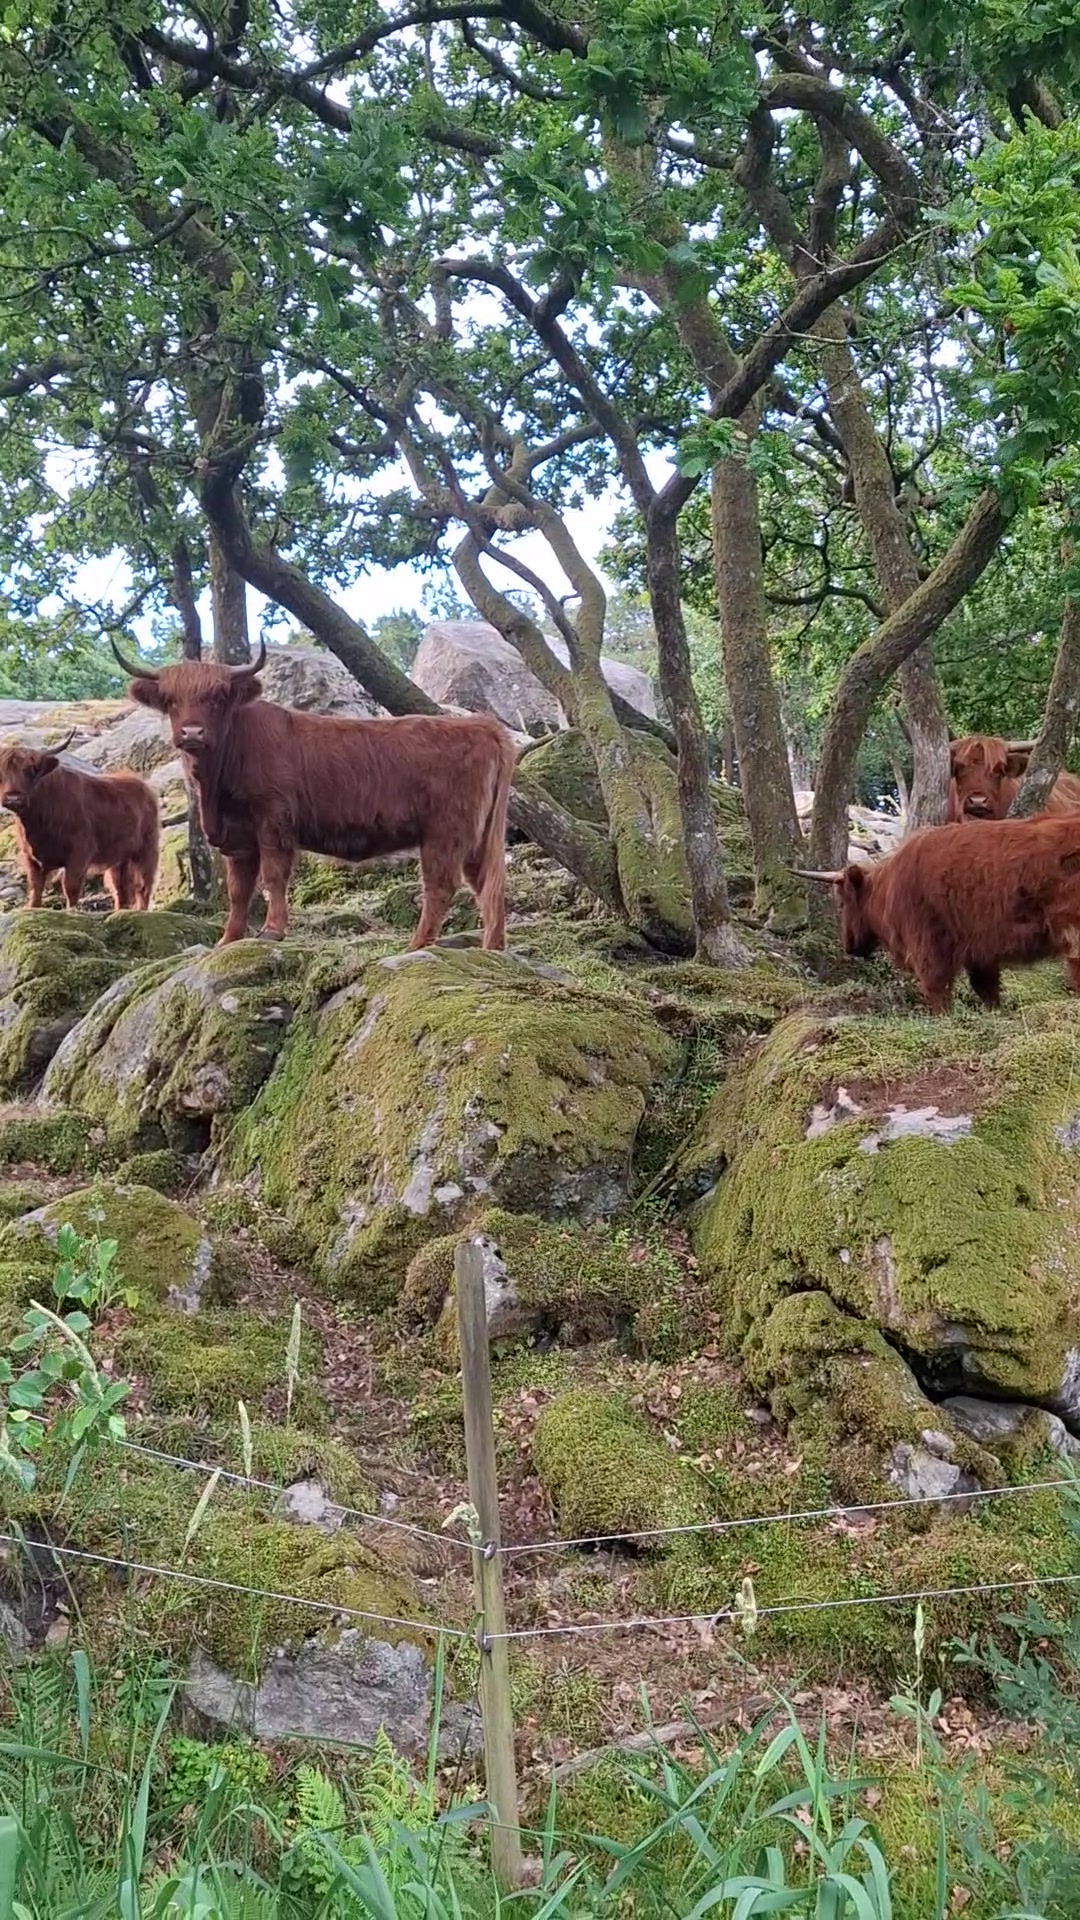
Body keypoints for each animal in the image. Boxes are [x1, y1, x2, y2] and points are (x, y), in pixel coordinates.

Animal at [0, 732, 159, 912]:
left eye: (29, 769)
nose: (13, 797)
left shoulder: (79, 854)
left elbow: (70, 887)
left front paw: (72, 911)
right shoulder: (31, 857)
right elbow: (35, 888)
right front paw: (33, 908)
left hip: (146, 850)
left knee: (143, 886)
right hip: (119, 858)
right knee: (120, 889)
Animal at [109, 639, 517, 949]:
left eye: (218, 697)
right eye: (171, 700)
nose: (192, 733)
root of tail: (481, 725)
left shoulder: (274, 820)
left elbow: (273, 877)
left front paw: (273, 930)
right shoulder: (237, 838)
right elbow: (239, 890)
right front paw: (229, 939)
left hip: (446, 832)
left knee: (441, 885)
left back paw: (416, 946)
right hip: (479, 836)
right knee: (489, 885)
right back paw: (491, 949)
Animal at [796, 813, 1080, 1013]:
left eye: (842, 903)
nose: (849, 946)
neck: (888, 887)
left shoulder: (928, 944)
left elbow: (937, 988)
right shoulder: (980, 949)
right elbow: (987, 989)